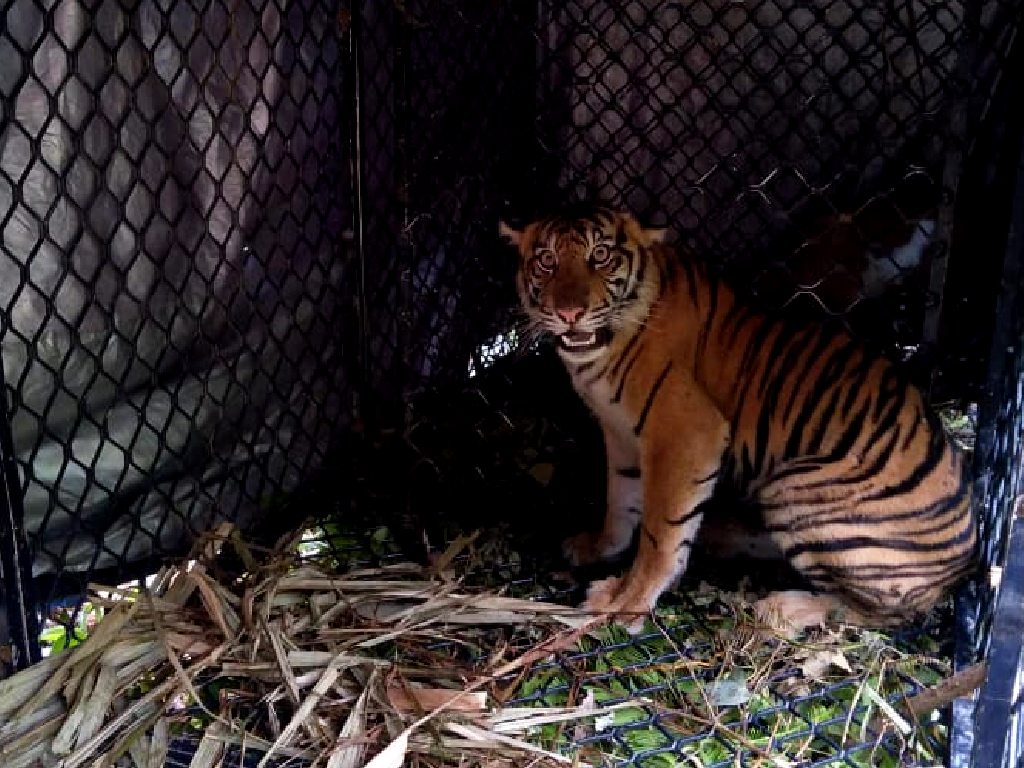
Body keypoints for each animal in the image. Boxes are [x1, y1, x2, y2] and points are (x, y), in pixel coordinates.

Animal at [499, 202, 978, 630]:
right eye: (546, 261)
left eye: (600, 255)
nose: (569, 313)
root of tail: (966, 563)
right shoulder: (618, 432)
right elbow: (620, 500)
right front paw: (598, 550)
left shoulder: (686, 431)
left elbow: (660, 531)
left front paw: (627, 602)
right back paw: (721, 534)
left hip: (797, 487)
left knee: (883, 612)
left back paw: (787, 608)